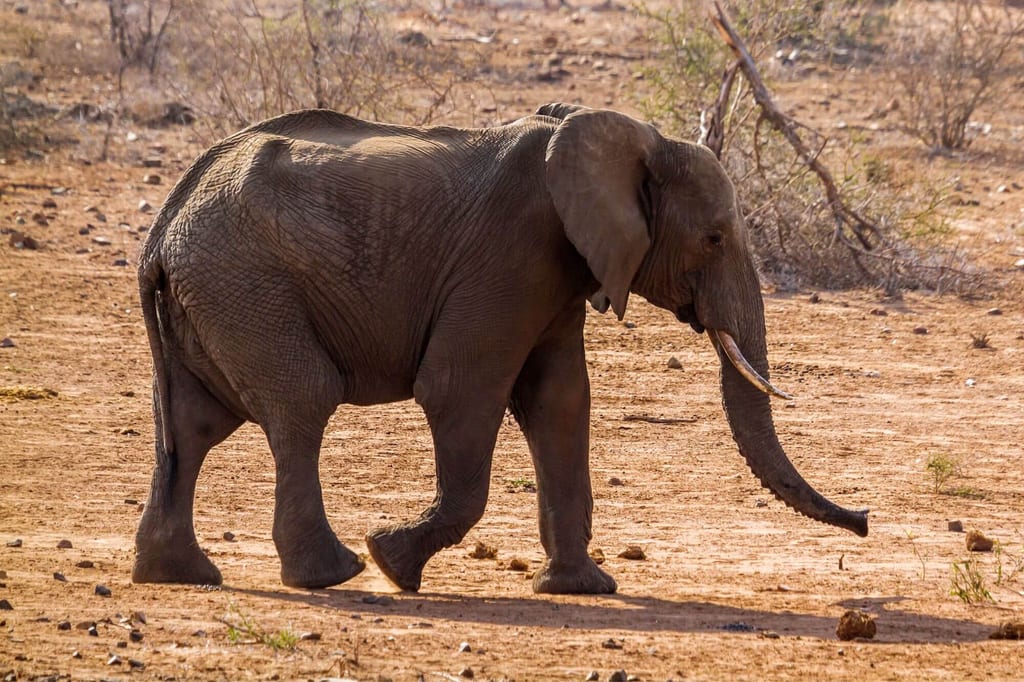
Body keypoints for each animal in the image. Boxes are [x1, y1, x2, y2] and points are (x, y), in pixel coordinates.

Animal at [131, 103, 868, 595]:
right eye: (714, 238)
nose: (864, 521)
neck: (630, 140)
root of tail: (164, 225)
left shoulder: (560, 271)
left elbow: (560, 402)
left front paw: (580, 588)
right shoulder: (513, 255)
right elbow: (459, 389)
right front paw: (394, 563)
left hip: (213, 294)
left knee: (194, 427)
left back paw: (181, 576)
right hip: (246, 282)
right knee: (302, 403)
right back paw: (333, 575)